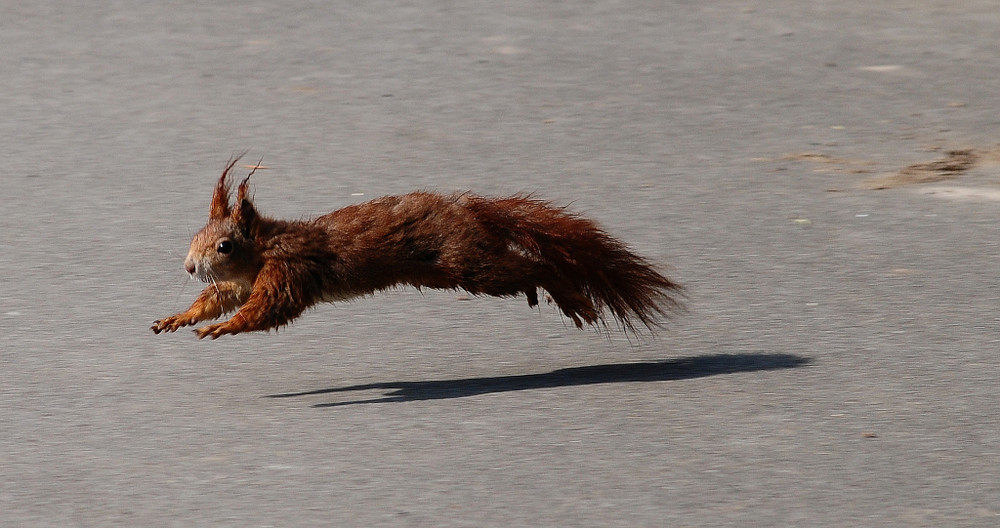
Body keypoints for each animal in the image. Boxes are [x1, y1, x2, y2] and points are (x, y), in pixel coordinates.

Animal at [150, 157, 680, 338]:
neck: (265, 247)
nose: (189, 265)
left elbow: (266, 309)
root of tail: (470, 209)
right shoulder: (241, 282)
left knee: (534, 268)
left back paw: (568, 297)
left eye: (223, 245)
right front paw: (179, 317)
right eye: (194, 237)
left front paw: (222, 329)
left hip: (467, 263)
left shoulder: (290, 270)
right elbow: (218, 299)